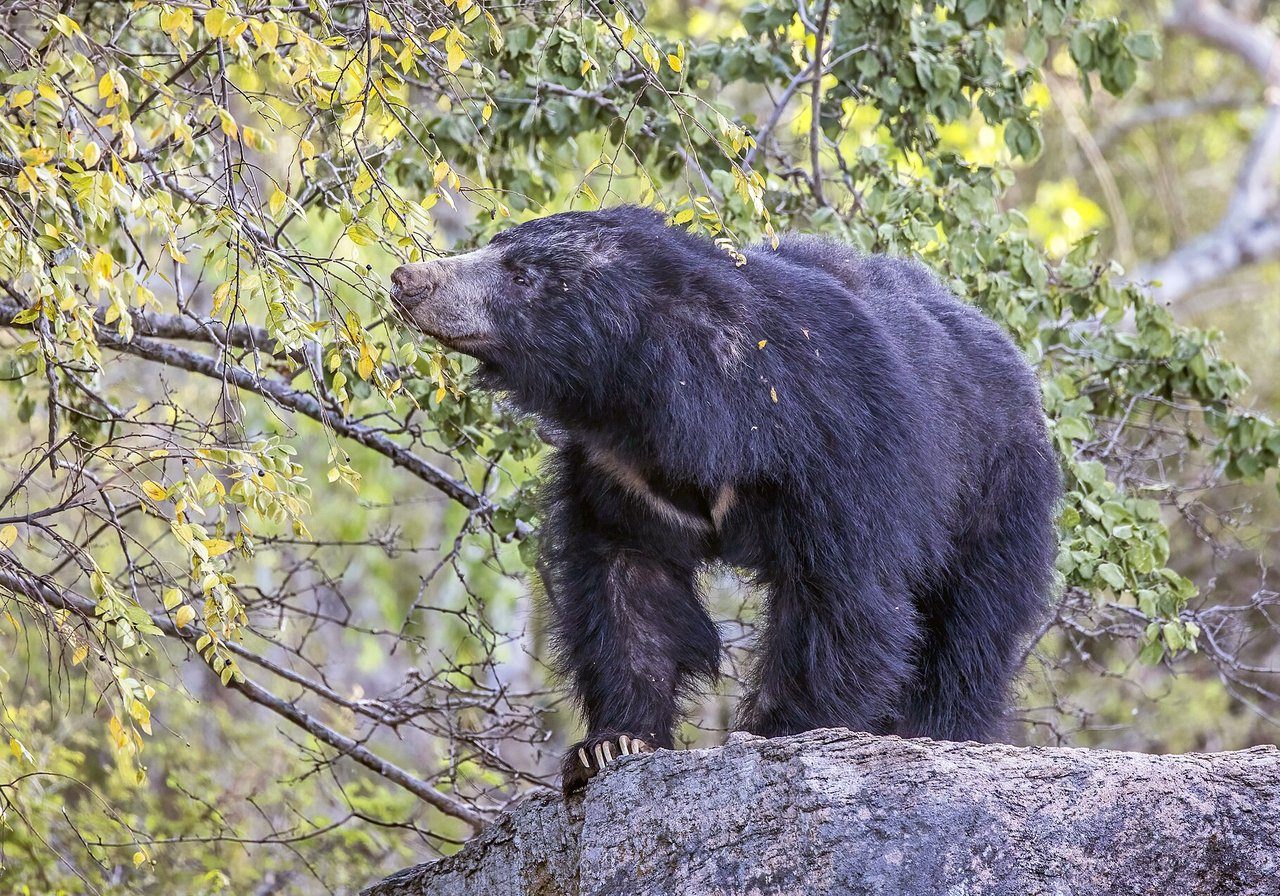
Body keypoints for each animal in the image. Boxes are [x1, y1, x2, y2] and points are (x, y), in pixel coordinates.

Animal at [389, 205, 1061, 794]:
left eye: (522, 276)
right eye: (495, 246)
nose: (408, 279)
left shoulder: (837, 445)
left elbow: (840, 595)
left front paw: (777, 731)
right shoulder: (619, 475)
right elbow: (628, 584)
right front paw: (611, 744)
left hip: (995, 496)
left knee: (969, 633)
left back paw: (942, 730)